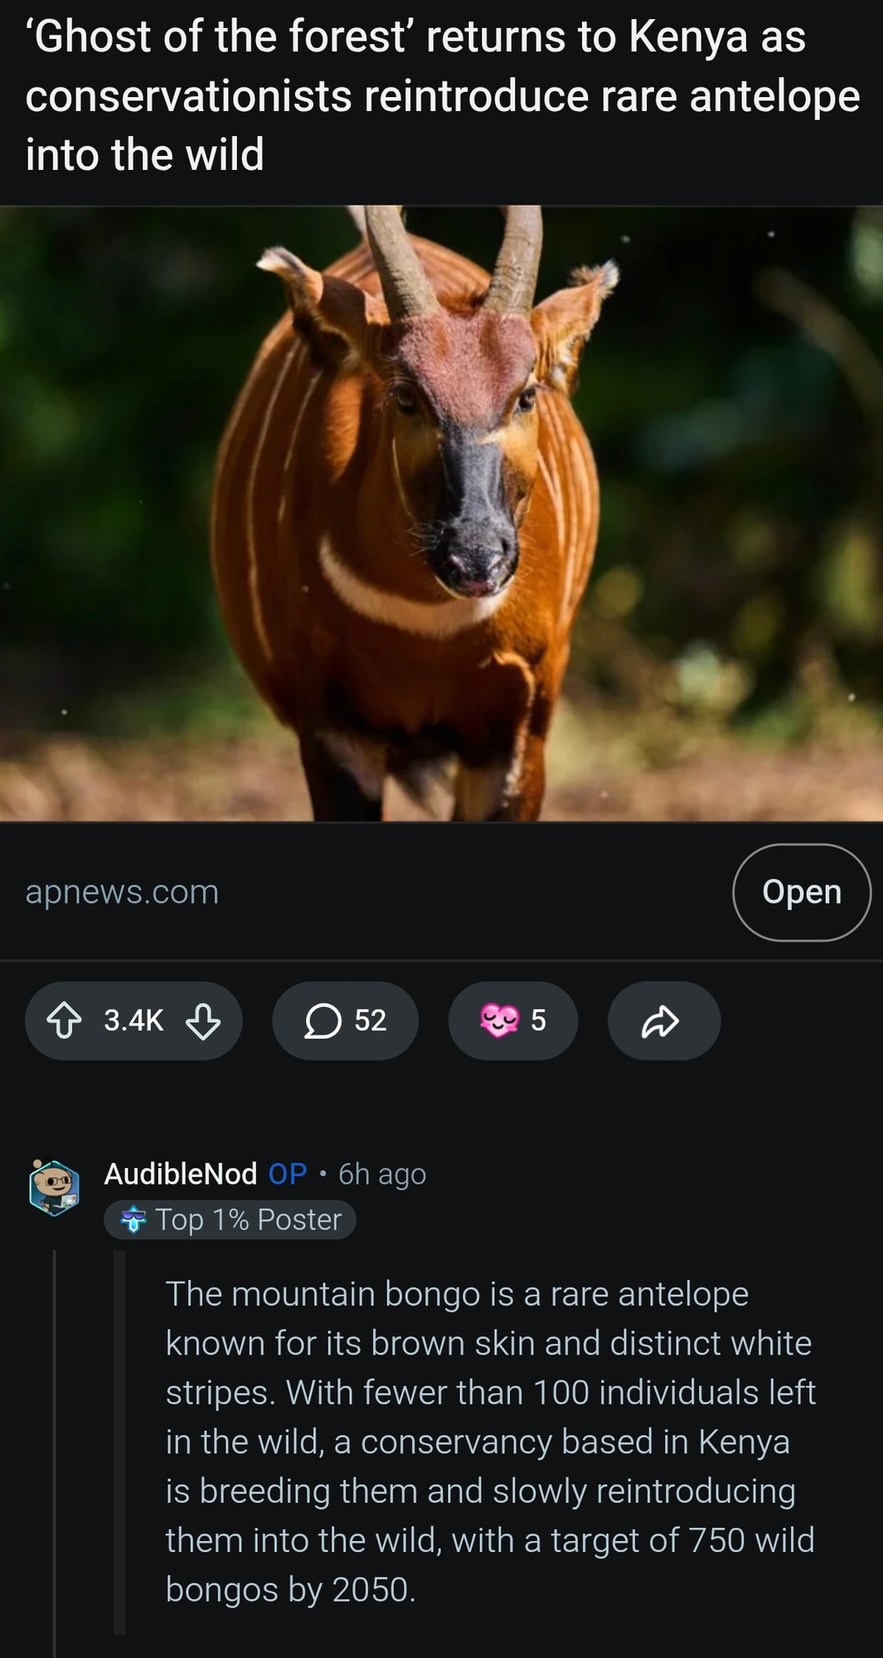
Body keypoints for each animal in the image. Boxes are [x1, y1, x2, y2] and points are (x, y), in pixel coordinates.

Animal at [212, 206, 617, 820]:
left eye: (525, 395)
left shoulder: (516, 733)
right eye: (406, 396)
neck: (428, 622)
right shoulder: (334, 729)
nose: (476, 557)